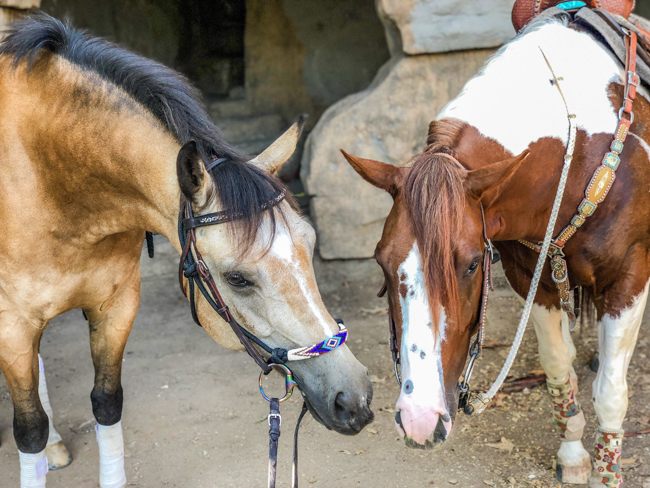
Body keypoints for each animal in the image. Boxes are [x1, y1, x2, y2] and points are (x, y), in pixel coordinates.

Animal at [0, 14, 372, 488]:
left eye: (310, 243)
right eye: (237, 278)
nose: (355, 398)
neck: (51, 178)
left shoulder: (116, 306)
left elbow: (107, 403)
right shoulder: (12, 325)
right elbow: (28, 428)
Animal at [342, 4, 644, 488]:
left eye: (470, 266)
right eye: (382, 264)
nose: (420, 421)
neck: (579, 151)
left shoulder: (630, 278)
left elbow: (612, 391)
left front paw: (607, 472)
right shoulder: (532, 280)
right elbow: (558, 366)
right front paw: (573, 455)